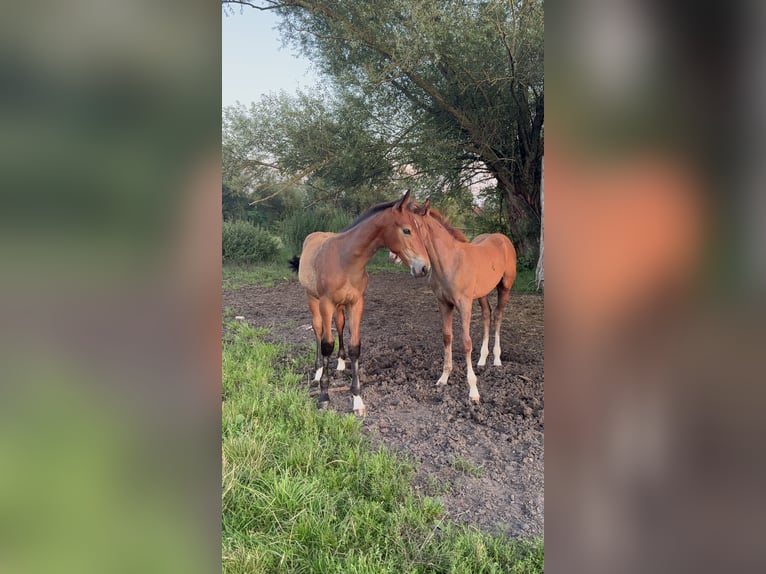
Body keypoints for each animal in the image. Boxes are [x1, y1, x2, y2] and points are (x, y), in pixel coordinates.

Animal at [296, 191, 432, 416]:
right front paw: (324, 396)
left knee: (339, 325)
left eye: (423, 231)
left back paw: (340, 364)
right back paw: (317, 371)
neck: (346, 261)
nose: (424, 268)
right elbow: (326, 345)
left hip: (340, 305)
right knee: (317, 328)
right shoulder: (326, 303)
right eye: (407, 230)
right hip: (312, 298)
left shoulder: (356, 303)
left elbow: (355, 347)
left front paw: (357, 400)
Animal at [414, 202, 516, 404]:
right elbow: (447, 337)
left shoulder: (464, 304)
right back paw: (482, 359)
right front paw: (443, 378)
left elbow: (466, 342)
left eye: (415, 226)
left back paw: (497, 359)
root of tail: (503, 239)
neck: (450, 262)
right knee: (487, 314)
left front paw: (473, 390)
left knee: (498, 315)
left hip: (505, 287)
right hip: (483, 293)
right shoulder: (444, 303)